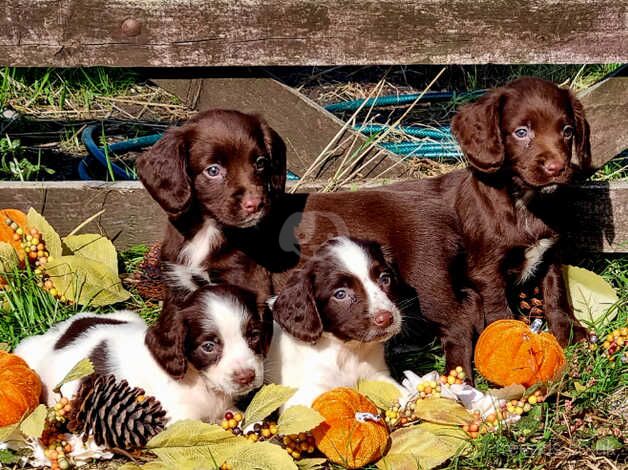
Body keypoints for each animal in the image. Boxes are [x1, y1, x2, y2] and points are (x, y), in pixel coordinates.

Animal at [15, 284, 272, 424]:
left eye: (254, 336)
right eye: (208, 346)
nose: (247, 377)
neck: (201, 382)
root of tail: (58, 334)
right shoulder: (177, 418)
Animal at [266, 239, 404, 408]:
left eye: (385, 279)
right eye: (340, 294)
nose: (386, 318)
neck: (348, 351)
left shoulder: (377, 375)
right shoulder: (305, 394)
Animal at [390, 75, 592, 344]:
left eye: (567, 131)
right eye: (521, 132)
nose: (557, 168)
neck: (523, 204)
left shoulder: (550, 252)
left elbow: (555, 291)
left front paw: (569, 332)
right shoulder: (486, 272)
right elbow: (499, 310)